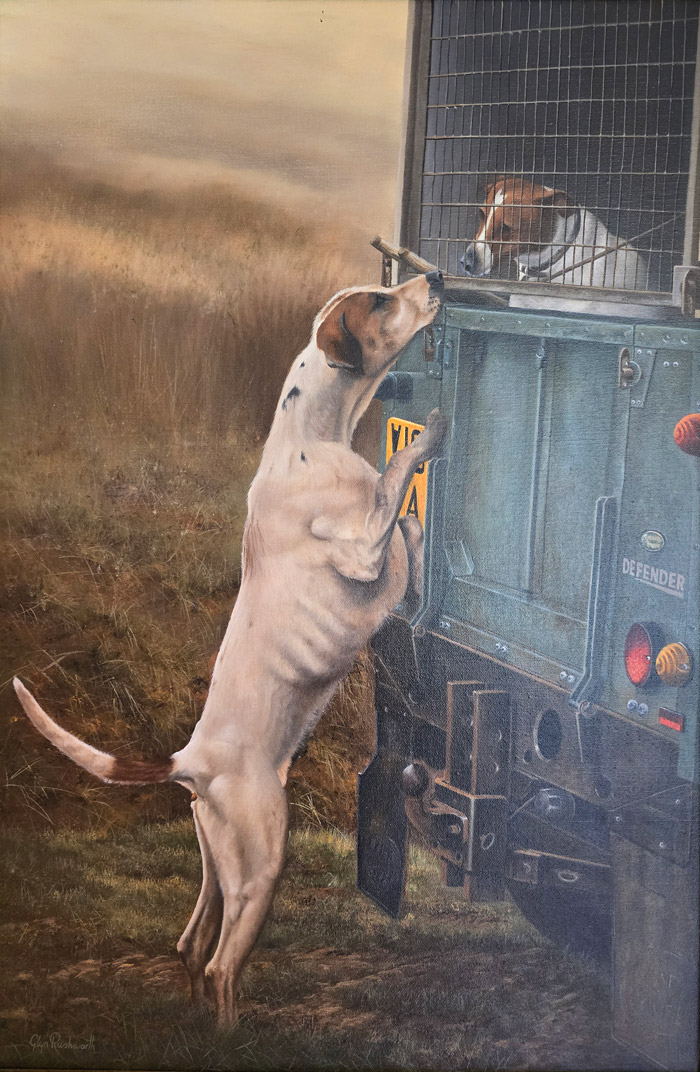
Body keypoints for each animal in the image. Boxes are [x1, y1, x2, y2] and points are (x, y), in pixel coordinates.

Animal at [13, 265, 445, 1020]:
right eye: (382, 300)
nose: (439, 277)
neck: (309, 439)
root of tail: (190, 761)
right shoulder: (364, 547)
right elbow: (395, 491)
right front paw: (430, 441)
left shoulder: (383, 546)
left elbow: (409, 532)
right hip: (261, 864)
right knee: (218, 967)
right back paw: (237, 1028)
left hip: (220, 865)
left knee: (191, 947)